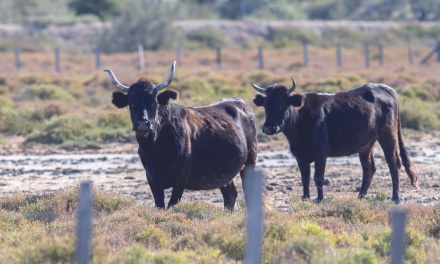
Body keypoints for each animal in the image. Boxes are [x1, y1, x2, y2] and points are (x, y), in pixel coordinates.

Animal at [103, 63, 258, 209]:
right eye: (131, 102)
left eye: (154, 101)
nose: (142, 123)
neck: (156, 150)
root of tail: (240, 102)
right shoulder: (152, 180)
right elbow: (160, 206)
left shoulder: (180, 180)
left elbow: (171, 205)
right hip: (224, 173)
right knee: (230, 194)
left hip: (250, 160)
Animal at [253, 79, 418, 203]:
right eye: (265, 106)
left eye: (281, 105)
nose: (268, 128)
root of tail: (388, 89)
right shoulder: (299, 155)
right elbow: (305, 178)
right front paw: (305, 199)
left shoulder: (321, 152)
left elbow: (319, 178)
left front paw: (319, 199)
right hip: (366, 144)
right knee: (369, 168)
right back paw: (360, 197)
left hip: (388, 134)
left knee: (394, 163)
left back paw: (395, 198)